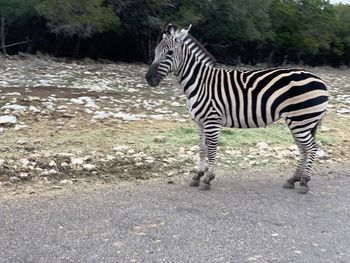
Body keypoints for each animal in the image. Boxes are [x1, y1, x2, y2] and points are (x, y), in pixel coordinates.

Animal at [145, 24, 328, 194]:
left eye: (169, 53)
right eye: (155, 51)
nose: (149, 78)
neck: (200, 83)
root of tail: (319, 79)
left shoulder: (212, 121)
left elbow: (212, 150)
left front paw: (208, 179)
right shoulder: (200, 122)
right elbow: (202, 149)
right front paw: (197, 176)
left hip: (301, 119)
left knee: (311, 148)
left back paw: (304, 182)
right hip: (299, 121)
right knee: (303, 149)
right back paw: (293, 179)